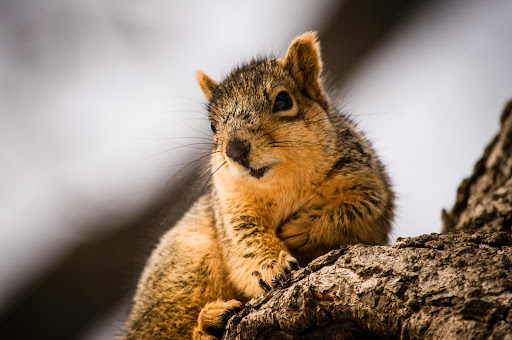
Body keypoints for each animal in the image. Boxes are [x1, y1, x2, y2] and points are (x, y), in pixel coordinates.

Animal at [122, 31, 394, 340]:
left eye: (283, 101)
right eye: (212, 125)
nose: (235, 150)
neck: (285, 180)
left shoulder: (368, 183)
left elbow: (355, 212)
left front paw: (298, 229)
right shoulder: (232, 208)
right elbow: (247, 245)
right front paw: (271, 266)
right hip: (185, 271)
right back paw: (210, 322)